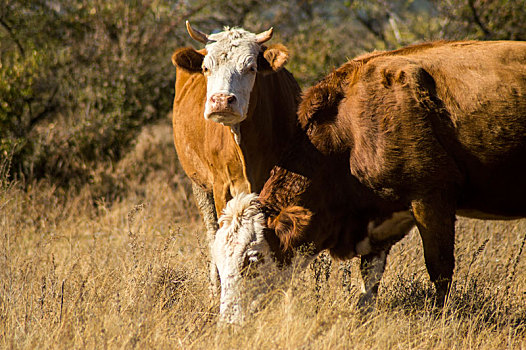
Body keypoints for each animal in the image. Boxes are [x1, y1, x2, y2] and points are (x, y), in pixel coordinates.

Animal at [173, 22, 304, 296]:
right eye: (206, 68)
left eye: (251, 67)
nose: (222, 100)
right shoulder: (221, 186)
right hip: (199, 185)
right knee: (212, 231)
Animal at [213, 39, 526, 322]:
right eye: (218, 262)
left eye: (252, 259)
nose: (228, 322)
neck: (350, 133)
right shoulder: (379, 226)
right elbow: (368, 285)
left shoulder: (432, 197)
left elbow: (440, 270)